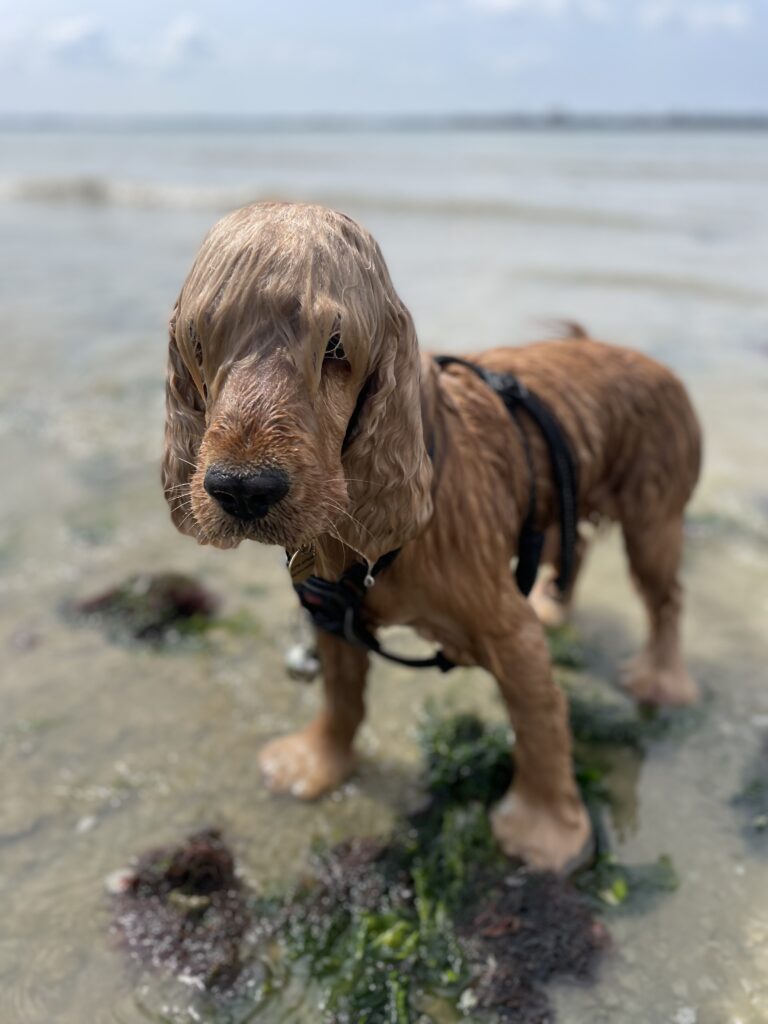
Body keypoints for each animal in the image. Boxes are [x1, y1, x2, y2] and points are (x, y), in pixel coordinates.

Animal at [162, 199, 704, 872]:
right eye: (199, 341)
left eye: (335, 345)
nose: (241, 489)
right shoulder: (332, 611)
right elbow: (341, 697)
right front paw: (316, 763)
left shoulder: (507, 629)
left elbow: (541, 724)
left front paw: (547, 833)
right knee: (574, 550)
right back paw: (556, 609)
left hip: (653, 518)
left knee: (666, 598)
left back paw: (662, 679)